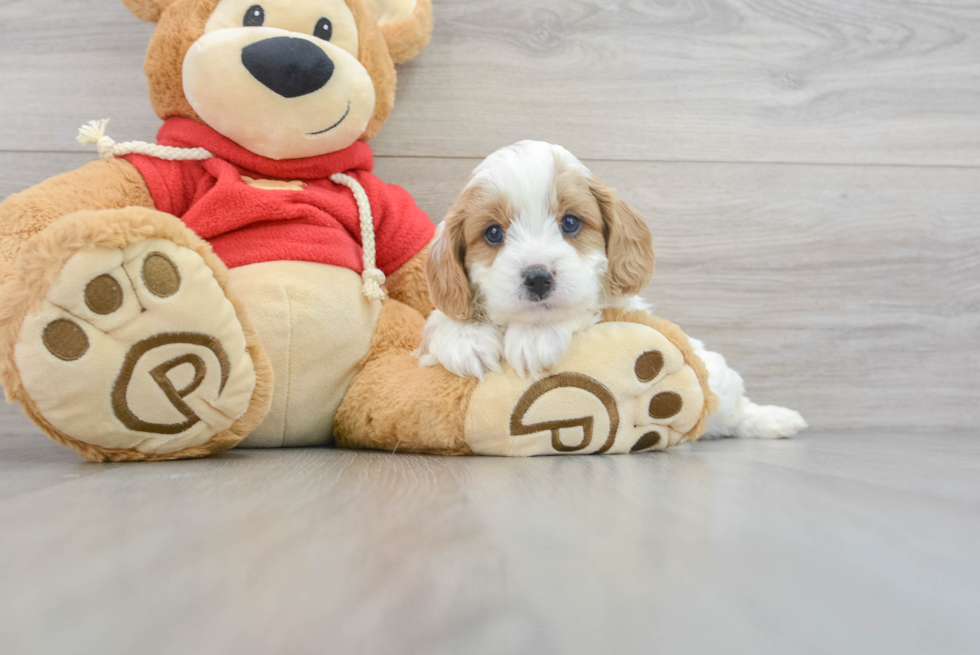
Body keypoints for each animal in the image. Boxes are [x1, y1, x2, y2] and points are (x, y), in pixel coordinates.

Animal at [418, 142, 808, 440]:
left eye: (570, 223)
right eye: (493, 233)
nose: (538, 277)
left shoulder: (619, 305)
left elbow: (581, 308)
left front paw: (535, 335)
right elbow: (444, 319)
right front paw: (466, 338)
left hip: (718, 381)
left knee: (735, 408)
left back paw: (777, 420)